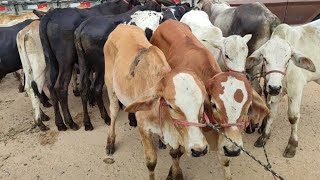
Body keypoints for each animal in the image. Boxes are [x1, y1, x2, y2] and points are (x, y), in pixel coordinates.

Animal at [39, 0, 140, 131]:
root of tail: (52, 14)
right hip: (67, 60)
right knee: (61, 86)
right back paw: (71, 122)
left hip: (51, 60)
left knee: (51, 84)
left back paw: (60, 123)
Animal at [74, 0, 161, 131]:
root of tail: (81, 28)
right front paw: (132, 119)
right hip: (102, 66)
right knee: (96, 88)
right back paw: (106, 117)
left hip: (84, 62)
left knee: (84, 88)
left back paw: (87, 122)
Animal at [104, 23, 211, 179]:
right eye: (171, 106)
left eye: (202, 103)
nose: (199, 149)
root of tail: (122, 25)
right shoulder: (144, 127)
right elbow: (151, 162)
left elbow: (174, 154)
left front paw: (176, 174)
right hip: (110, 85)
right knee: (114, 111)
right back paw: (110, 142)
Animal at [150, 19, 268, 179]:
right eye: (214, 105)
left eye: (248, 107)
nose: (233, 151)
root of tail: (167, 21)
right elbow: (175, 152)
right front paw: (173, 173)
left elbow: (225, 162)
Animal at [245, 19, 318, 158]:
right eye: (265, 59)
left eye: (288, 59)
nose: (274, 87)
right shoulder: (273, 91)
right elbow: (271, 112)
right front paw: (264, 137)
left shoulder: (296, 89)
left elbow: (293, 117)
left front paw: (292, 145)